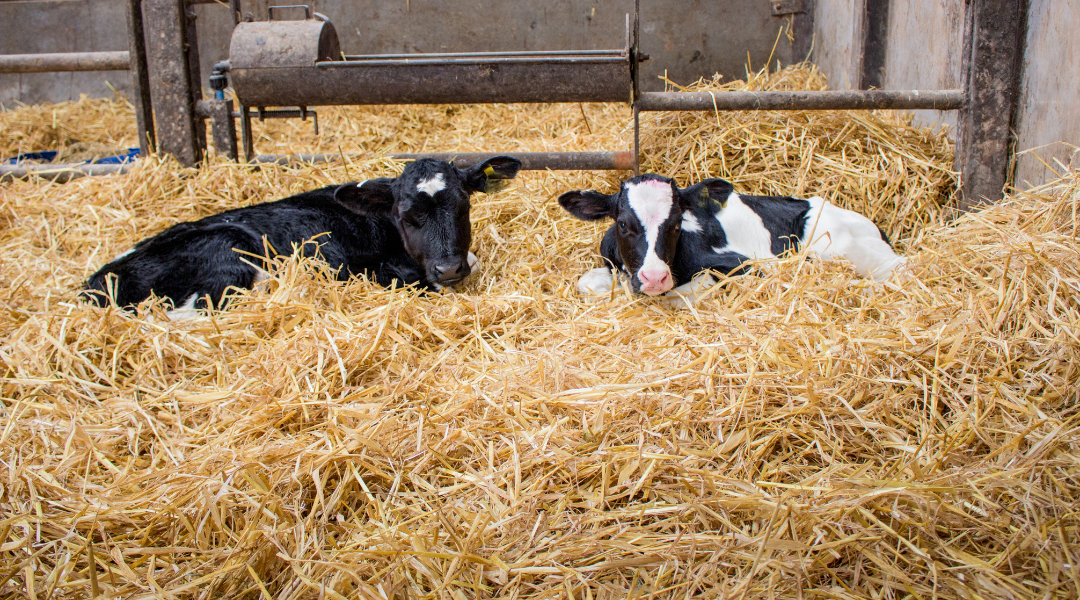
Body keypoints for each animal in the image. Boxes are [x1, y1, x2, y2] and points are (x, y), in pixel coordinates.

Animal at [558, 174, 905, 301]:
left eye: (675, 223)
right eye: (623, 225)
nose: (655, 277)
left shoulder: (746, 265)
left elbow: (683, 293)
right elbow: (587, 281)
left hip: (839, 248)